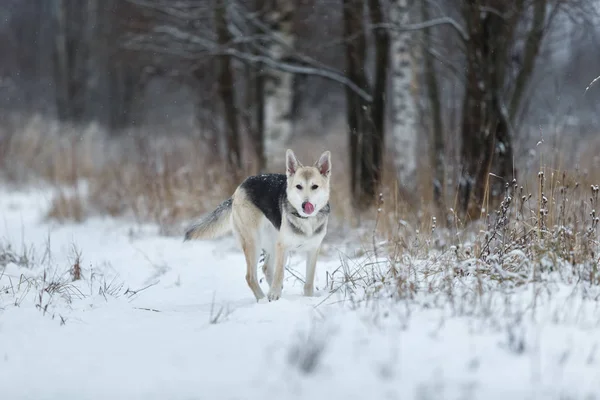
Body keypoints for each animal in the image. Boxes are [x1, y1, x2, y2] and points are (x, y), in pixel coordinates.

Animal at [184, 148, 332, 302]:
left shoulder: (313, 250)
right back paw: (263, 300)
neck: (306, 219)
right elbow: (280, 274)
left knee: (266, 268)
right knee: (250, 277)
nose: (305, 204)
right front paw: (274, 295)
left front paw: (309, 298)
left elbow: (309, 281)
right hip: (254, 242)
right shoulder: (283, 247)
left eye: (314, 187)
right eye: (299, 186)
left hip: (273, 242)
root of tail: (241, 186)